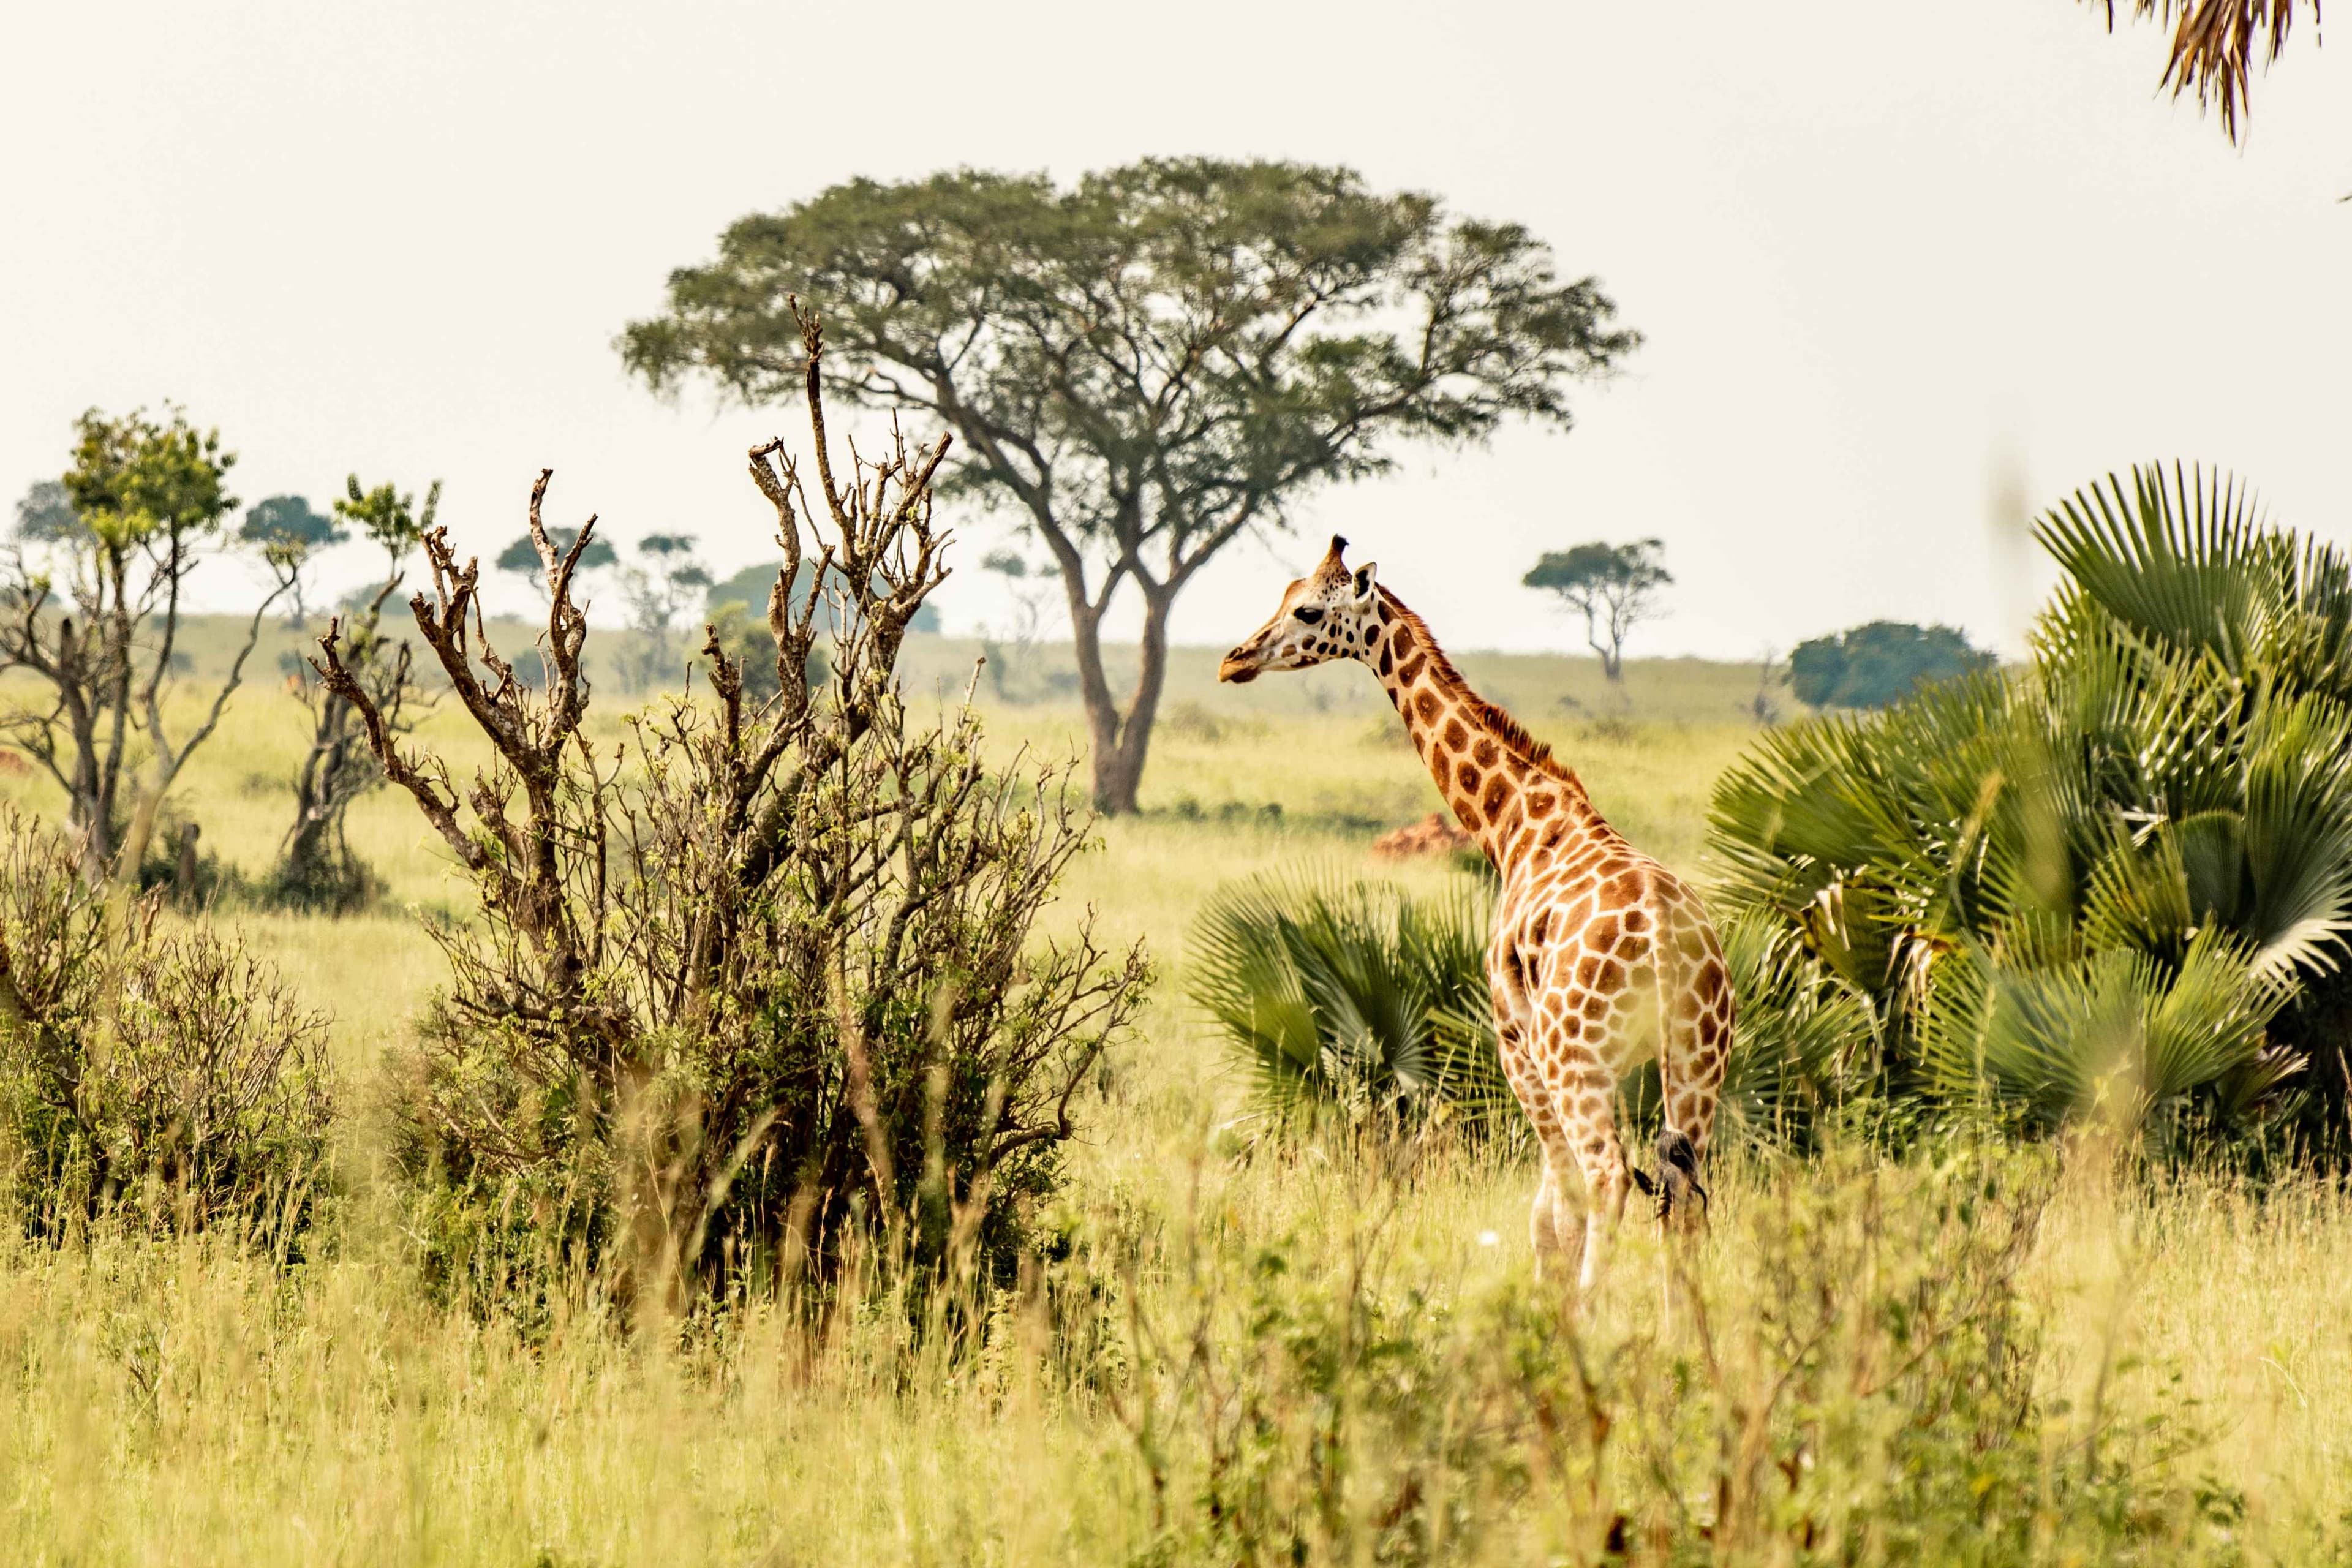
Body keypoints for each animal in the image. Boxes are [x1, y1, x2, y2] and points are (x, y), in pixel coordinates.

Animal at [1218, 537, 1733, 1290]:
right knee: (1685, 1198)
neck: (1514, 822)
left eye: (1308, 609)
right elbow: (1560, 1209)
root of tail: (1669, 942)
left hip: (1578, 1058)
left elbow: (1553, 1213)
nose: (1235, 659)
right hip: (1697, 1057)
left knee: (1609, 1177)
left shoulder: (1514, 1042)